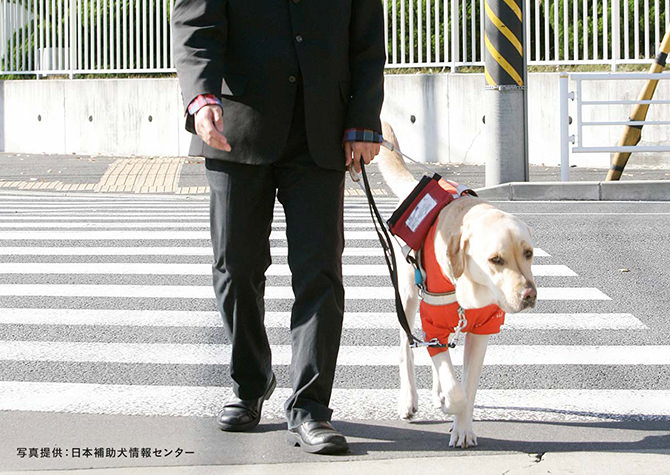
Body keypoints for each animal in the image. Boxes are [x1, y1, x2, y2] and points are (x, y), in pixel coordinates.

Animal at [376, 122, 540, 450]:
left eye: (528, 253)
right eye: (496, 259)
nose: (529, 295)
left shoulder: (482, 330)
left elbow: (469, 385)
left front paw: (463, 428)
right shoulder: (433, 320)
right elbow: (457, 391)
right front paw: (450, 404)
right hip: (407, 296)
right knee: (407, 348)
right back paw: (409, 399)